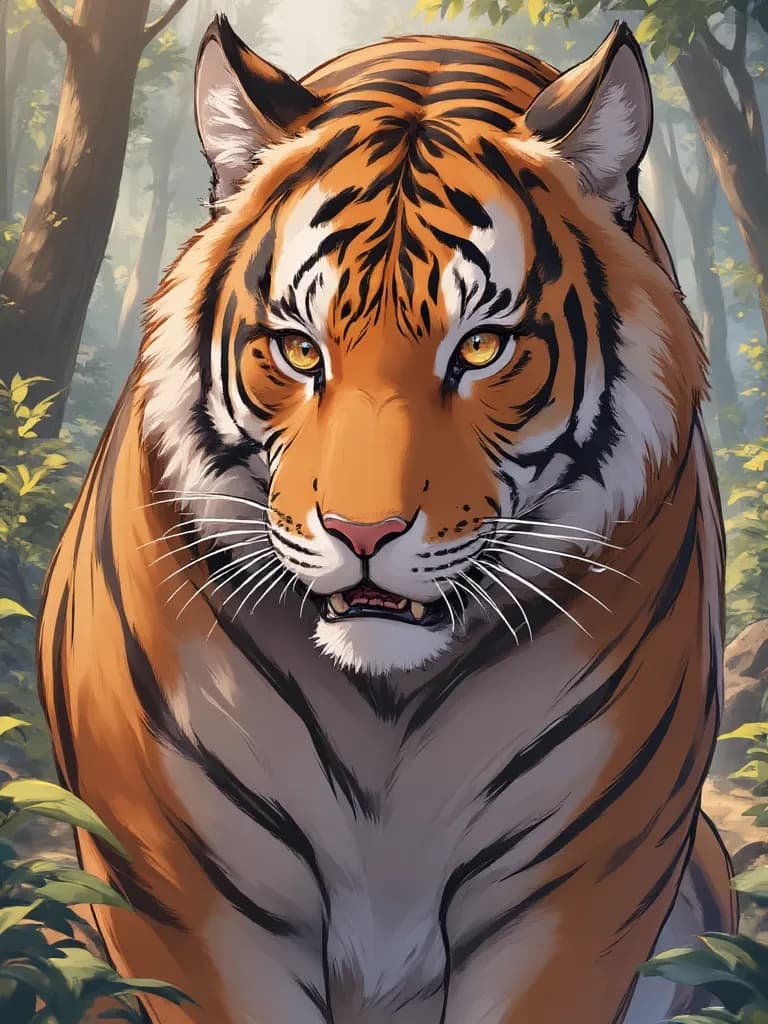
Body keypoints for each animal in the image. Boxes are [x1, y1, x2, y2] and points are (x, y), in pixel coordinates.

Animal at [38, 14, 736, 1024]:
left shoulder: (573, 891)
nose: (363, 536)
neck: (386, 709)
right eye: (299, 350)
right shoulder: (183, 884)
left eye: (481, 348)